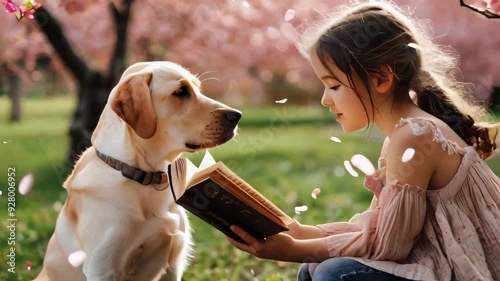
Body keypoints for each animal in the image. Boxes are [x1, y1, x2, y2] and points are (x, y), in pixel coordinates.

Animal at [33, 61, 240, 280]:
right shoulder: (102, 268)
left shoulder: (174, 264)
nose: (237, 115)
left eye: (199, 89)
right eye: (181, 92)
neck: (144, 175)